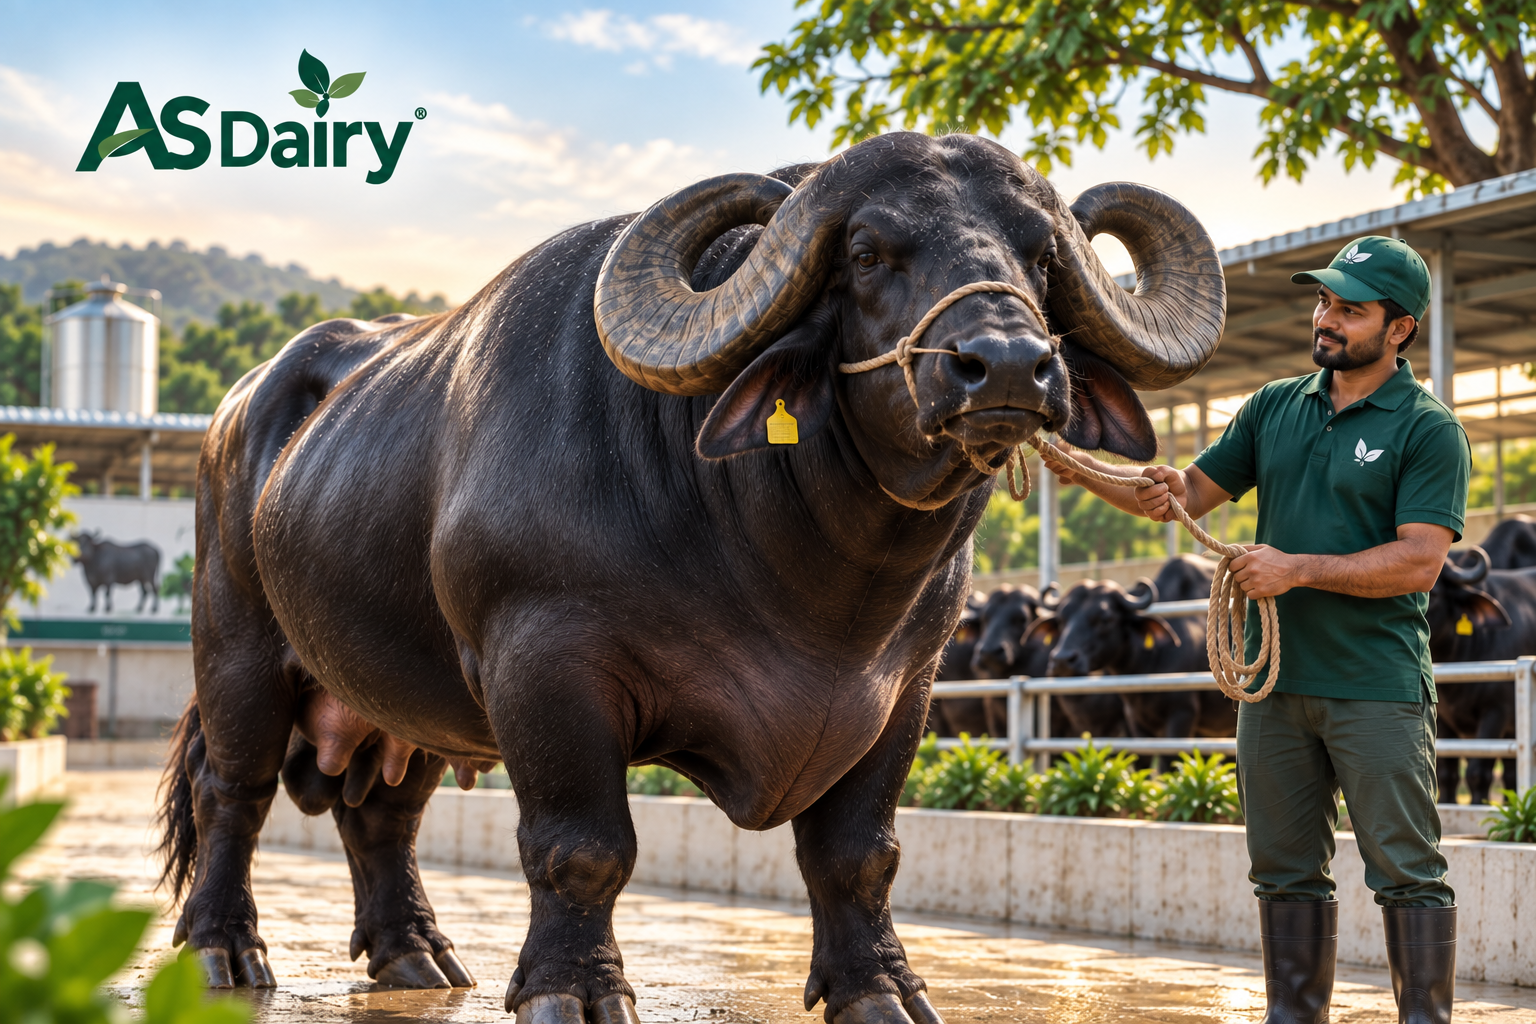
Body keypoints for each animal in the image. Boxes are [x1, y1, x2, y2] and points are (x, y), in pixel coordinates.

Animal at [158, 132, 1223, 1024]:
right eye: (867, 252)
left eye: (1041, 259)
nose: (1005, 364)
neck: (792, 563)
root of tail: (240, 409)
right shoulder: (543, 666)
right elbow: (583, 848)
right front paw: (573, 992)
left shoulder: (904, 687)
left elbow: (858, 856)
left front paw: (880, 991)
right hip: (238, 650)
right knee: (233, 790)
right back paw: (224, 954)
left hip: (406, 698)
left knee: (381, 813)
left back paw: (416, 956)